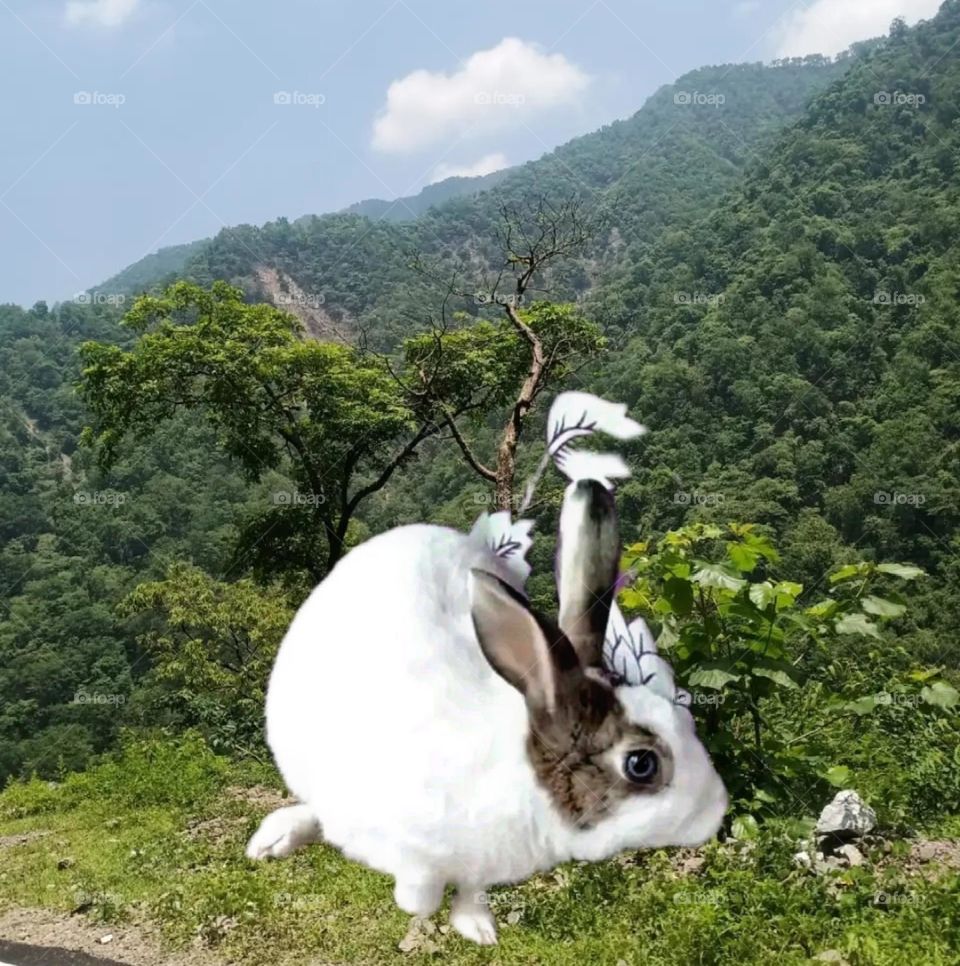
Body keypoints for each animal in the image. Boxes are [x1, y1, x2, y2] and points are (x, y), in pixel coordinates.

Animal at [246, 393, 728, 946]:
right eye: (641, 764)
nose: (717, 809)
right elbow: (419, 887)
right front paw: (418, 907)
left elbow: (471, 891)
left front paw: (476, 927)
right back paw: (271, 842)